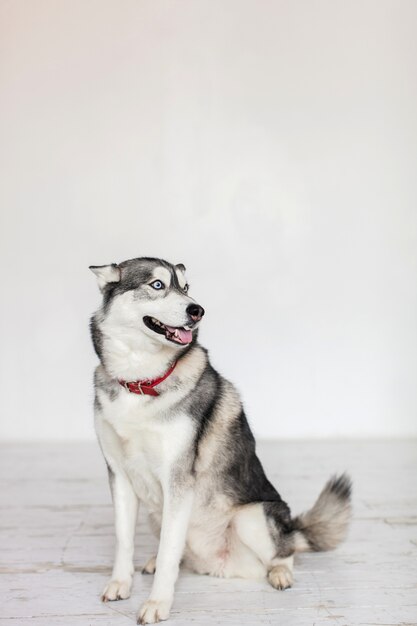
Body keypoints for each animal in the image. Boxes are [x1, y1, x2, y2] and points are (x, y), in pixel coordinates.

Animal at [89, 256, 350, 620]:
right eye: (158, 285)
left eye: (186, 287)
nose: (197, 310)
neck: (141, 382)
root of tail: (218, 565)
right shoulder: (120, 476)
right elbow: (124, 540)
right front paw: (120, 584)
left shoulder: (178, 479)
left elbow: (170, 552)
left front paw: (157, 603)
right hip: (159, 515)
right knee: (180, 552)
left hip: (253, 517)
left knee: (285, 552)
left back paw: (280, 573)